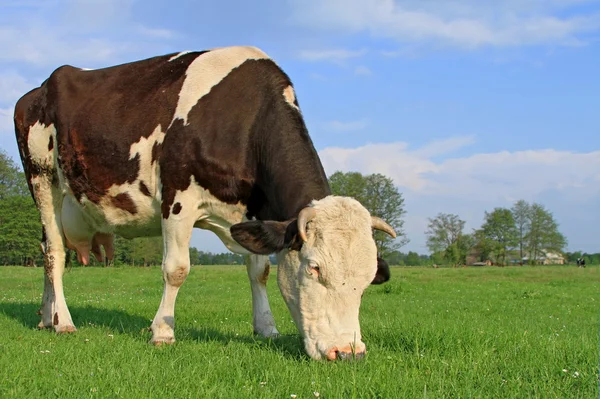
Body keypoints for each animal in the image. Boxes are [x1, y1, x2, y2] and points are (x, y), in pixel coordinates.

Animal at [12, 45, 394, 360]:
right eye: (314, 268)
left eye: (368, 278)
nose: (348, 353)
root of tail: (38, 89)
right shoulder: (178, 197)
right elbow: (176, 269)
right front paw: (162, 332)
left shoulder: (253, 213)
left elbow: (260, 270)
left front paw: (266, 327)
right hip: (42, 177)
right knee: (54, 251)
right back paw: (63, 321)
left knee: (47, 247)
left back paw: (46, 317)